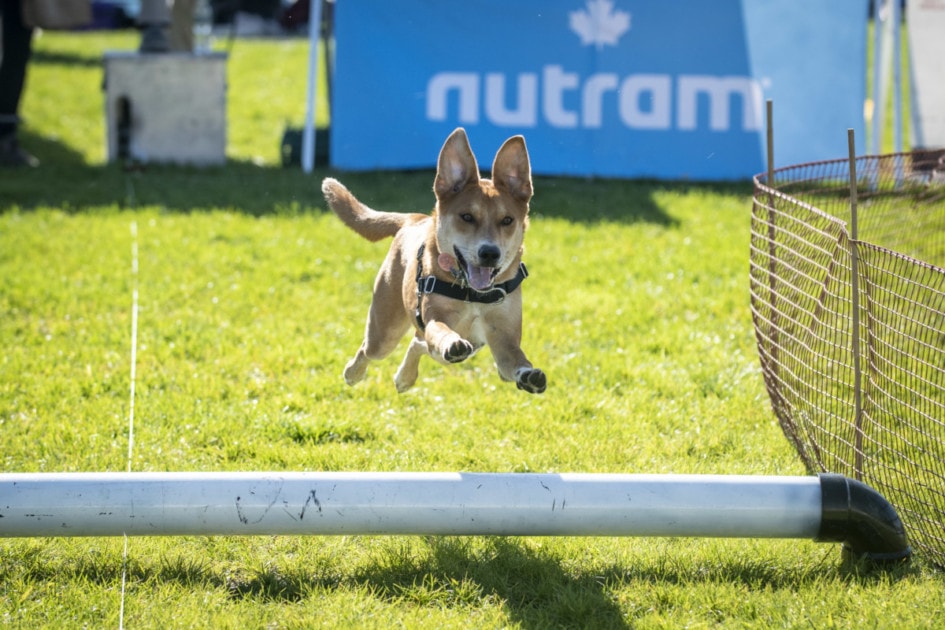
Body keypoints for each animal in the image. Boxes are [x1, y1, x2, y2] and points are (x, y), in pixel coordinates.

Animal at [322, 128, 544, 396]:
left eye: (507, 220)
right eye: (467, 217)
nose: (490, 253)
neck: (472, 295)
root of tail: (414, 219)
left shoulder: (504, 336)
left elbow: (516, 360)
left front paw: (529, 375)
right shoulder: (435, 316)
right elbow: (440, 330)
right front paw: (452, 341)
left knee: (418, 343)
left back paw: (404, 378)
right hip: (384, 328)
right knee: (372, 349)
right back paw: (353, 372)